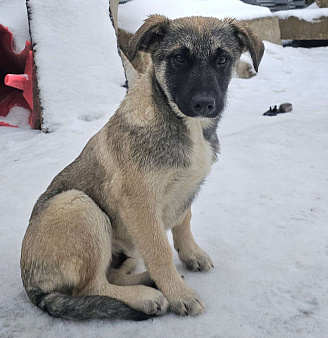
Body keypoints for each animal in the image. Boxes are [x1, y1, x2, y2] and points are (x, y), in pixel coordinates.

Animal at [20, 15, 264, 320]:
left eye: (222, 60)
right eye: (179, 58)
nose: (204, 104)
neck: (186, 126)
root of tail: (31, 286)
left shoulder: (186, 189)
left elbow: (184, 219)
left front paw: (191, 254)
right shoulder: (139, 202)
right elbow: (160, 250)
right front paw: (180, 295)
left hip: (125, 247)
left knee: (111, 275)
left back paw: (147, 281)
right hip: (78, 205)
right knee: (91, 286)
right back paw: (146, 296)